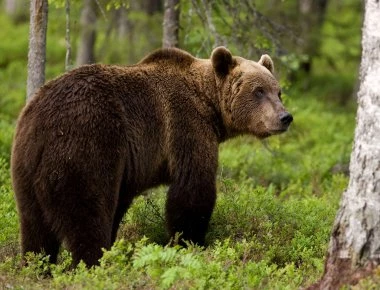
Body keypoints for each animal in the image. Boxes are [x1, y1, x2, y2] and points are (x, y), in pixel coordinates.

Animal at [10, 46, 292, 266]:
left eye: (278, 91)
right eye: (258, 91)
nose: (285, 117)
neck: (210, 105)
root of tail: (40, 121)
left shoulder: (128, 167)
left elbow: (121, 203)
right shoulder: (186, 126)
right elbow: (192, 190)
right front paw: (191, 242)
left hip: (26, 168)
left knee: (34, 227)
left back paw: (37, 267)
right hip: (85, 147)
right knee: (86, 215)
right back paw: (94, 264)